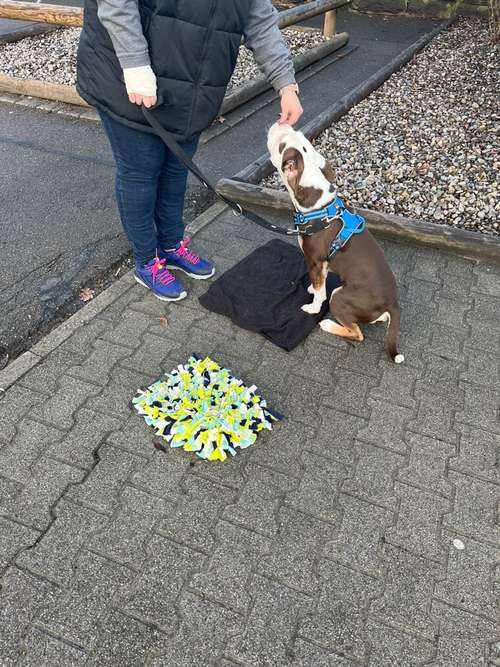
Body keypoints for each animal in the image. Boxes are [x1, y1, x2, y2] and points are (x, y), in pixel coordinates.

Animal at [268, 125, 404, 366]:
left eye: (282, 145)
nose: (282, 124)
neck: (317, 206)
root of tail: (392, 303)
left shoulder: (314, 260)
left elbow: (320, 291)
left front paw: (313, 307)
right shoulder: (320, 265)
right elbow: (318, 283)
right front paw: (313, 288)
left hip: (340, 297)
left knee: (357, 333)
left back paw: (328, 324)